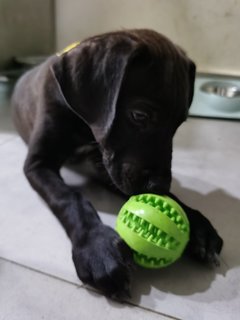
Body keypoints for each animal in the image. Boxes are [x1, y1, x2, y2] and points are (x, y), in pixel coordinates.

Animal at [11, 28, 223, 298]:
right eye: (139, 115)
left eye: (178, 124)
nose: (158, 186)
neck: (84, 124)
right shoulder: (38, 164)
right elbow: (69, 197)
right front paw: (97, 246)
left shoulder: (108, 167)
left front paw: (198, 225)